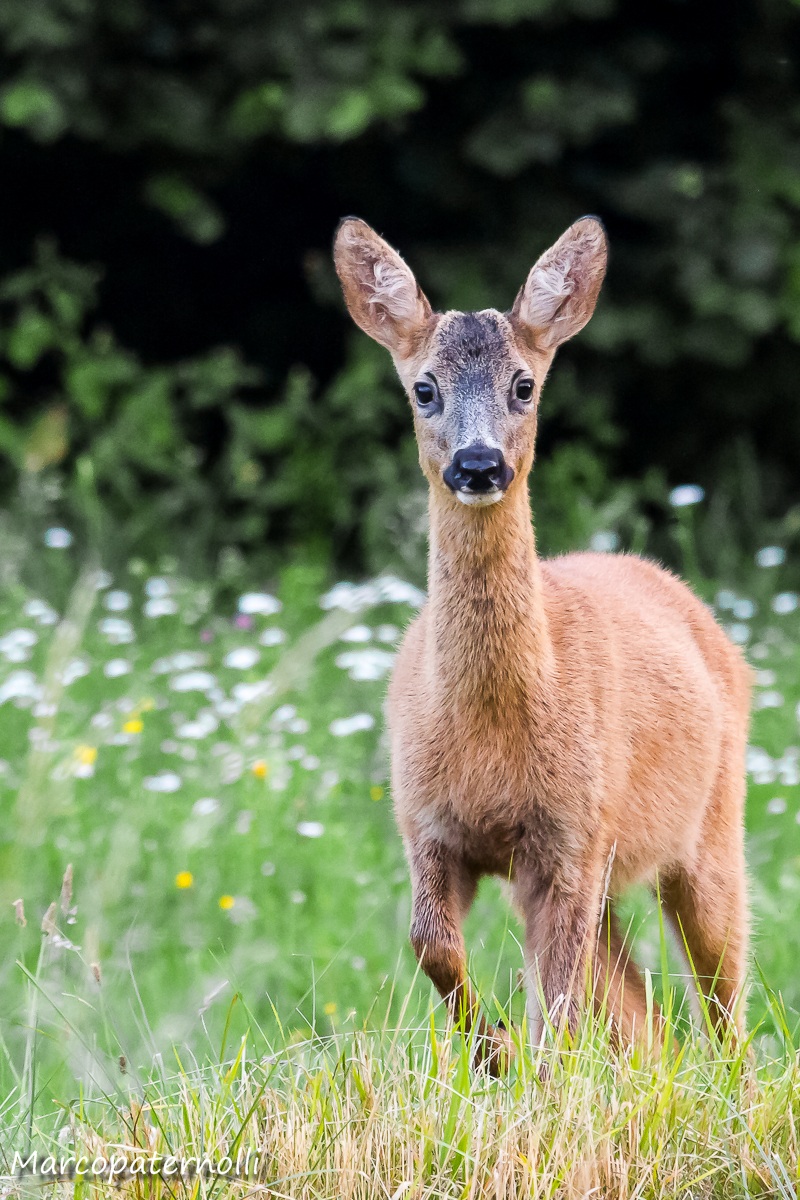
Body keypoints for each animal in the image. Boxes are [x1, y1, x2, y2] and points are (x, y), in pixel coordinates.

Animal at [333, 215, 751, 1072]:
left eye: (523, 385)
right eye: (424, 388)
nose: (478, 463)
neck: (492, 729)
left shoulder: (572, 834)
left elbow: (558, 1001)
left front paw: (526, 1063)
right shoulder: (426, 822)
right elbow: (433, 945)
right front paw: (494, 1049)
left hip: (710, 827)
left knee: (725, 998)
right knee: (640, 1007)